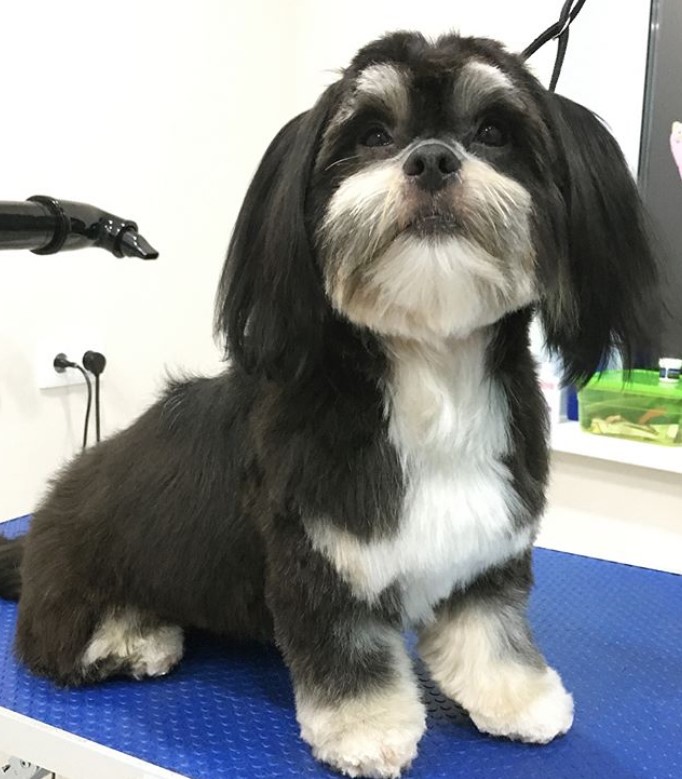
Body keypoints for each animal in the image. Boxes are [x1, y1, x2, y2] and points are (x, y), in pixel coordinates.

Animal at [1, 30, 660, 779]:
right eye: (372, 135)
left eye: (494, 133)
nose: (432, 159)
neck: (432, 374)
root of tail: (43, 520)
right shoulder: (319, 559)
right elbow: (350, 656)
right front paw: (366, 730)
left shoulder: (485, 547)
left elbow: (490, 628)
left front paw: (516, 697)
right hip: (79, 582)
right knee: (59, 642)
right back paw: (134, 638)